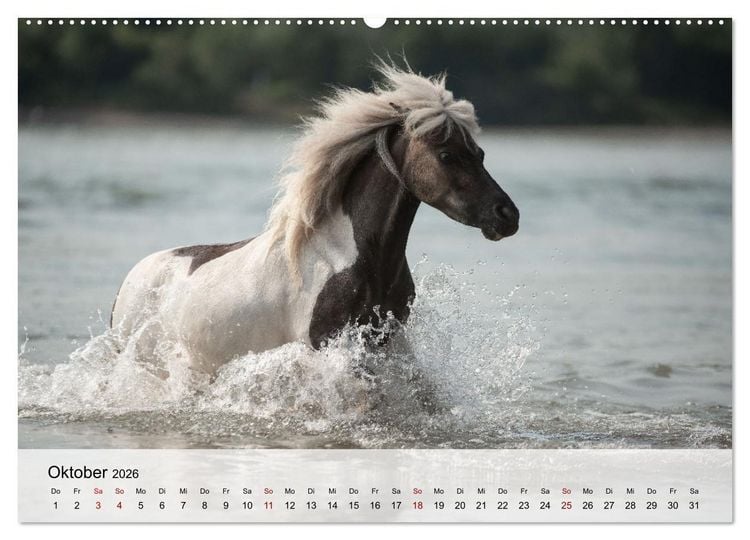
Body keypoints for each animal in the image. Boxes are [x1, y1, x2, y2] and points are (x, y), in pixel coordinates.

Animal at [110, 64, 519, 379]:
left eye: (480, 153)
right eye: (447, 154)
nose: (507, 215)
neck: (353, 257)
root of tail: (131, 279)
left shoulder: (389, 343)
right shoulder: (327, 347)